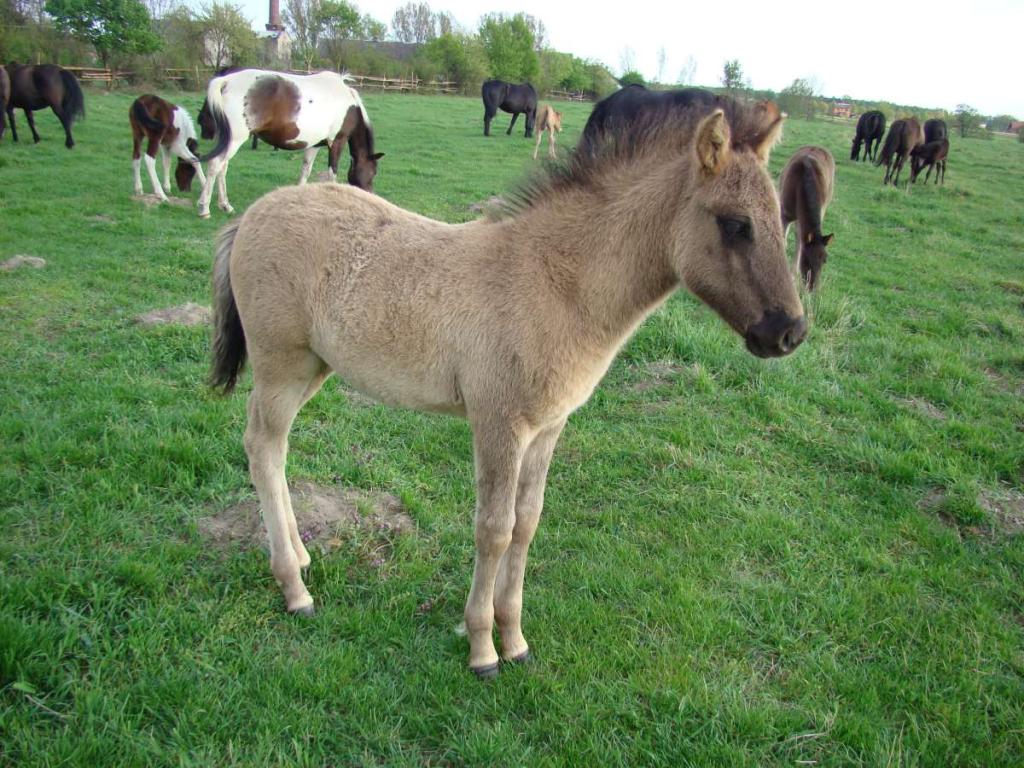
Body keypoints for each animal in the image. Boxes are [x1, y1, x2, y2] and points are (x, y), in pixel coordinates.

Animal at [197, 69, 382, 219]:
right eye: (373, 173)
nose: (371, 195)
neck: (350, 106)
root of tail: (227, 80)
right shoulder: (337, 142)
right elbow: (332, 173)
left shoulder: (314, 145)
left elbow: (306, 170)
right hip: (235, 139)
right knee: (215, 165)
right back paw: (204, 208)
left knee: (222, 168)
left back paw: (225, 205)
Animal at [209, 94, 806, 679]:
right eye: (734, 224)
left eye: (781, 218)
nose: (790, 332)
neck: (555, 282)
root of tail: (256, 213)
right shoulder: (499, 423)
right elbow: (494, 528)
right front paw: (482, 649)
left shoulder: (547, 427)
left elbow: (527, 523)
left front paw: (515, 639)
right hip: (280, 365)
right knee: (262, 449)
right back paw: (294, 588)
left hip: (313, 369)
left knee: (276, 450)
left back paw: (301, 557)